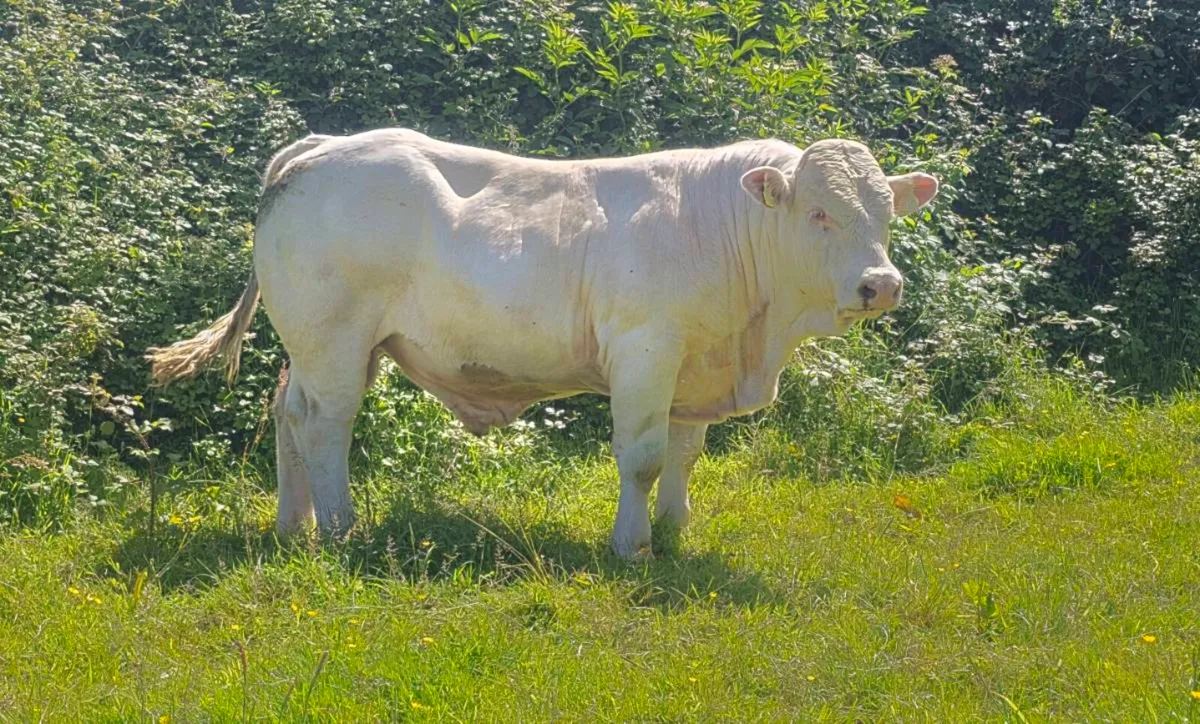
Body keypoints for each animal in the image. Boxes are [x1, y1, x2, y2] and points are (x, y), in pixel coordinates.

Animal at [147, 129, 938, 558]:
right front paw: (633, 545)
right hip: (335, 337)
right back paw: (341, 529)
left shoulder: (694, 365)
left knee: (288, 412)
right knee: (326, 425)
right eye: (818, 213)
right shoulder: (646, 349)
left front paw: (675, 530)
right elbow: (643, 458)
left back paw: (293, 526)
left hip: (320, 345)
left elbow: (685, 454)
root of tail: (325, 146)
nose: (882, 284)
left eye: (884, 212)